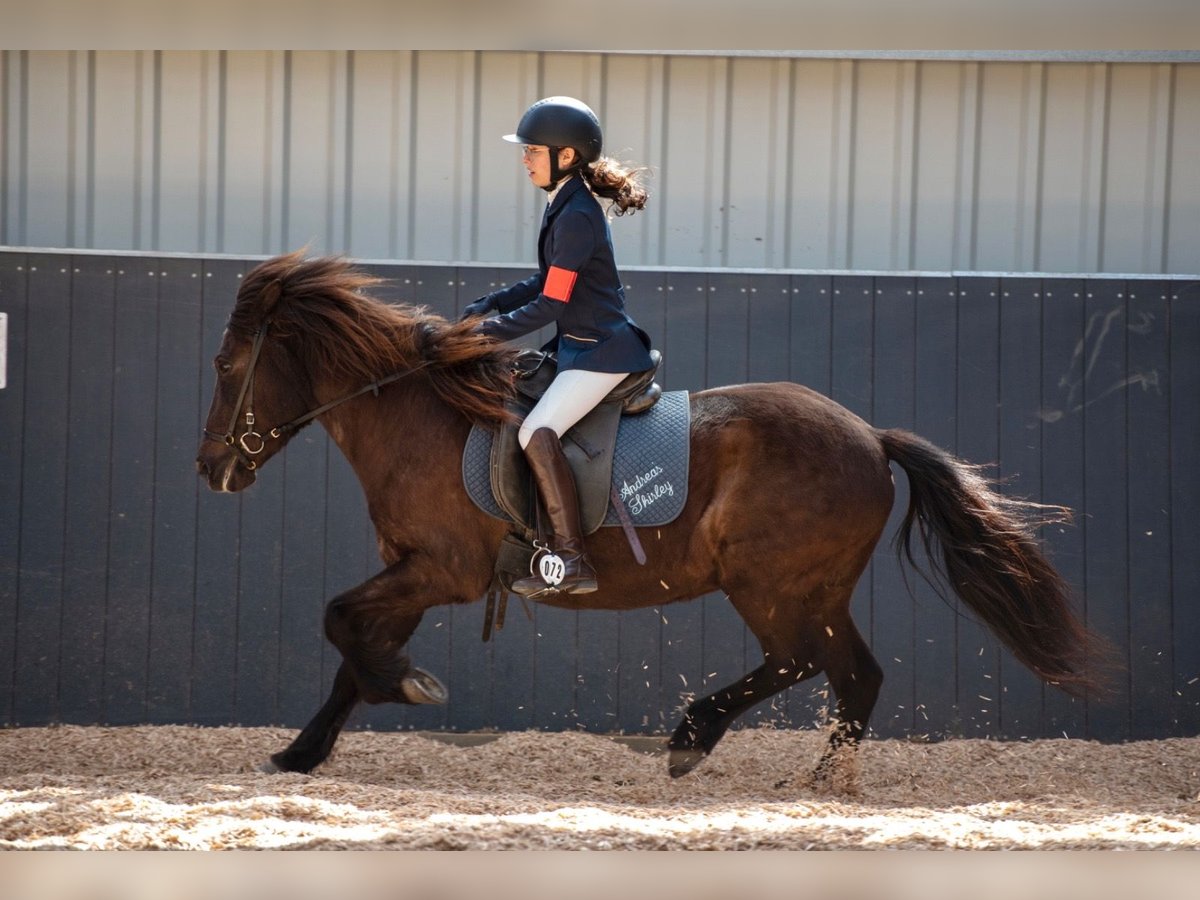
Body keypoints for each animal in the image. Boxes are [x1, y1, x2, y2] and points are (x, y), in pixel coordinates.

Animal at [194, 250, 1104, 787]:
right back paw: (816, 782)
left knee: (804, 661)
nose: (210, 470)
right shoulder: (415, 572)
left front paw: (405, 686)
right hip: (812, 589)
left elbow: (340, 623)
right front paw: (304, 749)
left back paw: (699, 737)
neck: (421, 418)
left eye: (228, 365)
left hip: (770, 584)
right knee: (853, 673)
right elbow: (352, 647)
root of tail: (870, 437)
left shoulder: (440, 572)